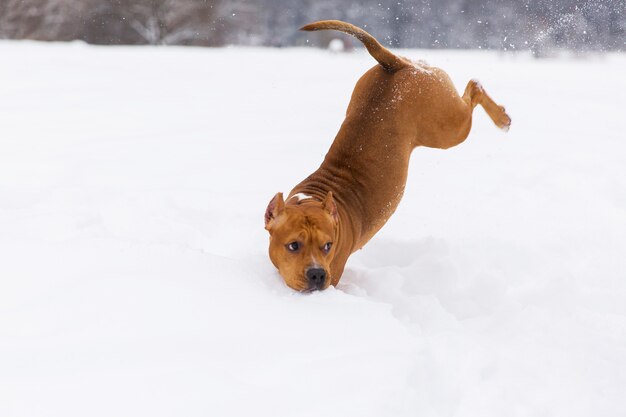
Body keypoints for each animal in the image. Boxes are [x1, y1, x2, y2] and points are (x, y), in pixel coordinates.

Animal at [264, 19, 508, 290]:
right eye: (293, 246)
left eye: (328, 246)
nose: (317, 274)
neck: (311, 199)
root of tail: (395, 64)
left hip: (449, 126)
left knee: (474, 88)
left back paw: (502, 118)